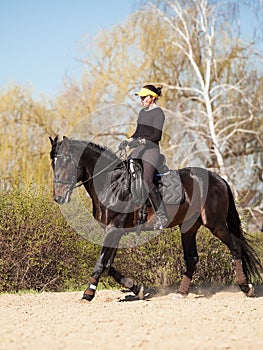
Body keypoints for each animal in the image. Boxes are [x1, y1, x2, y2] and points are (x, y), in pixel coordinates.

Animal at [49, 135, 262, 300]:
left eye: (66, 163)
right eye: (53, 164)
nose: (58, 197)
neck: (111, 183)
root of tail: (219, 179)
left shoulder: (114, 227)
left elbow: (101, 263)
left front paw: (88, 293)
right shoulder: (115, 231)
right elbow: (108, 264)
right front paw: (136, 288)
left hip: (215, 224)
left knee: (235, 246)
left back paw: (246, 287)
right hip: (189, 227)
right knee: (192, 258)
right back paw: (181, 293)